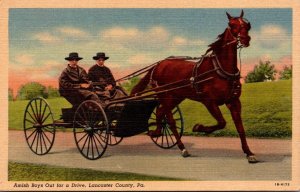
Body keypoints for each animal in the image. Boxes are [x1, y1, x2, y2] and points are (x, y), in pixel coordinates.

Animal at [131, 10, 258, 163]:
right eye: (232, 24)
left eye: (247, 24)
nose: (245, 39)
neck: (218, 69)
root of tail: (158, 65)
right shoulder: (209, 101)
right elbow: (222, 122)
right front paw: (199, 127)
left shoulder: (233, 101)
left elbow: (240, 128)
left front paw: (249, 153)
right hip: (165, 95)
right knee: (169, 119)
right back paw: (181, 147)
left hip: (176, 97)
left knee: (161, 112)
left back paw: (158, 133)